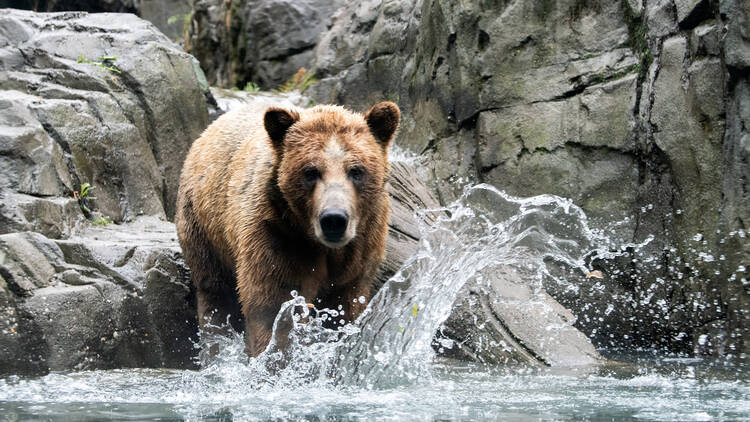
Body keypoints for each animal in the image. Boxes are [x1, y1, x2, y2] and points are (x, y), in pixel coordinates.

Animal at [176, 99, 402, 356]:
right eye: (311, 171)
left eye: (356, 170)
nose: (334, 219)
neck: (321, 246)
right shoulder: (276, 235)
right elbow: (273, 306)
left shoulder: (361, 250)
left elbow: (347, 307)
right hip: (204, 226)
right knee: (214, 291)